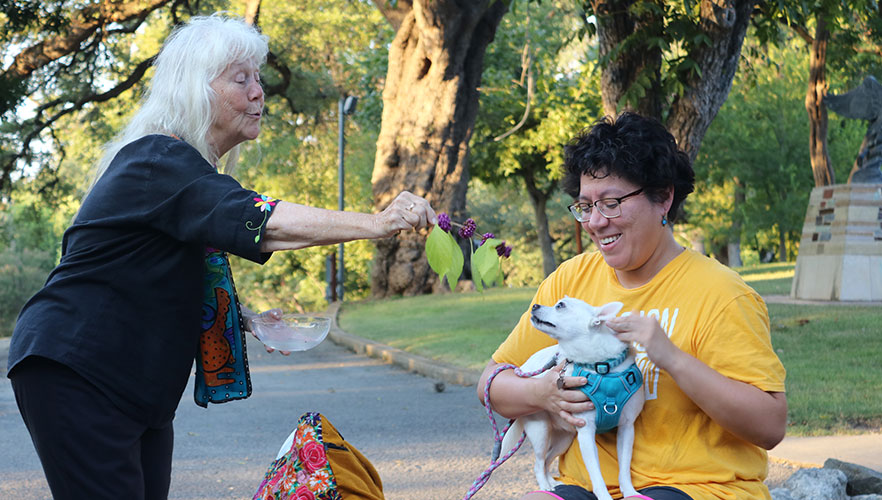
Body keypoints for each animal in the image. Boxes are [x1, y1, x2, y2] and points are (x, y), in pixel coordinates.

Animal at [498, 296, 644, 500]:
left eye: (560, 306)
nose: (535, 305)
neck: (601, 367)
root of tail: (523, 369)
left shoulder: (627, 429)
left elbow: (624, 469)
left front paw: (630, 492)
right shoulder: (586, 434)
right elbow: (596, 475)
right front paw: (604, 496)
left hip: (564, 438)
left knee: (547, 460)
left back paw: (552, 482)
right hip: (540, 430)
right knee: (538, 463)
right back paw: (545, 486)